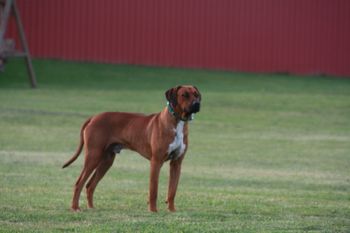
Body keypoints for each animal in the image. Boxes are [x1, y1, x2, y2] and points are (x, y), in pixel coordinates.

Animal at [61, 85, 201, 211]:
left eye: (196, 95)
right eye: (184, 95)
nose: (197, 104)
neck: (177, 121)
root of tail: (93, 117)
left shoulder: (176, 163)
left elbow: (172, 191)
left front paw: (172, 211)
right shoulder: (156, 162)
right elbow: (153, 190)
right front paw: (153, 211)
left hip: (106, 161)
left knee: (90, 185)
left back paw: (91, 207)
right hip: (93, 156)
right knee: (79, 183)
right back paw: (75, 208)